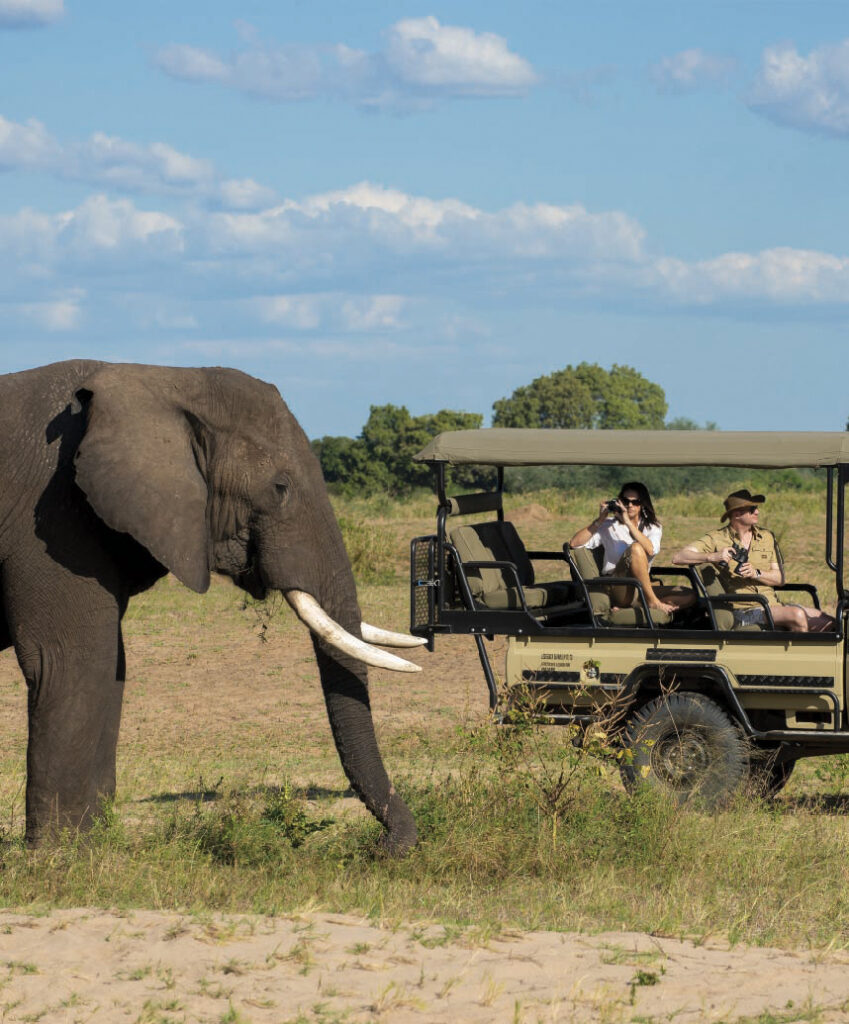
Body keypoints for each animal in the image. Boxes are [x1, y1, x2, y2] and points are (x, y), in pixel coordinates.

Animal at [0, 360, 423, 854]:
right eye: (280, 488)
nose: (384, 846)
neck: (162, 377)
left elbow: (112, 667)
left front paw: (96, 843)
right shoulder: (49, 517)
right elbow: (70, 660)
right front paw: (64, 856)